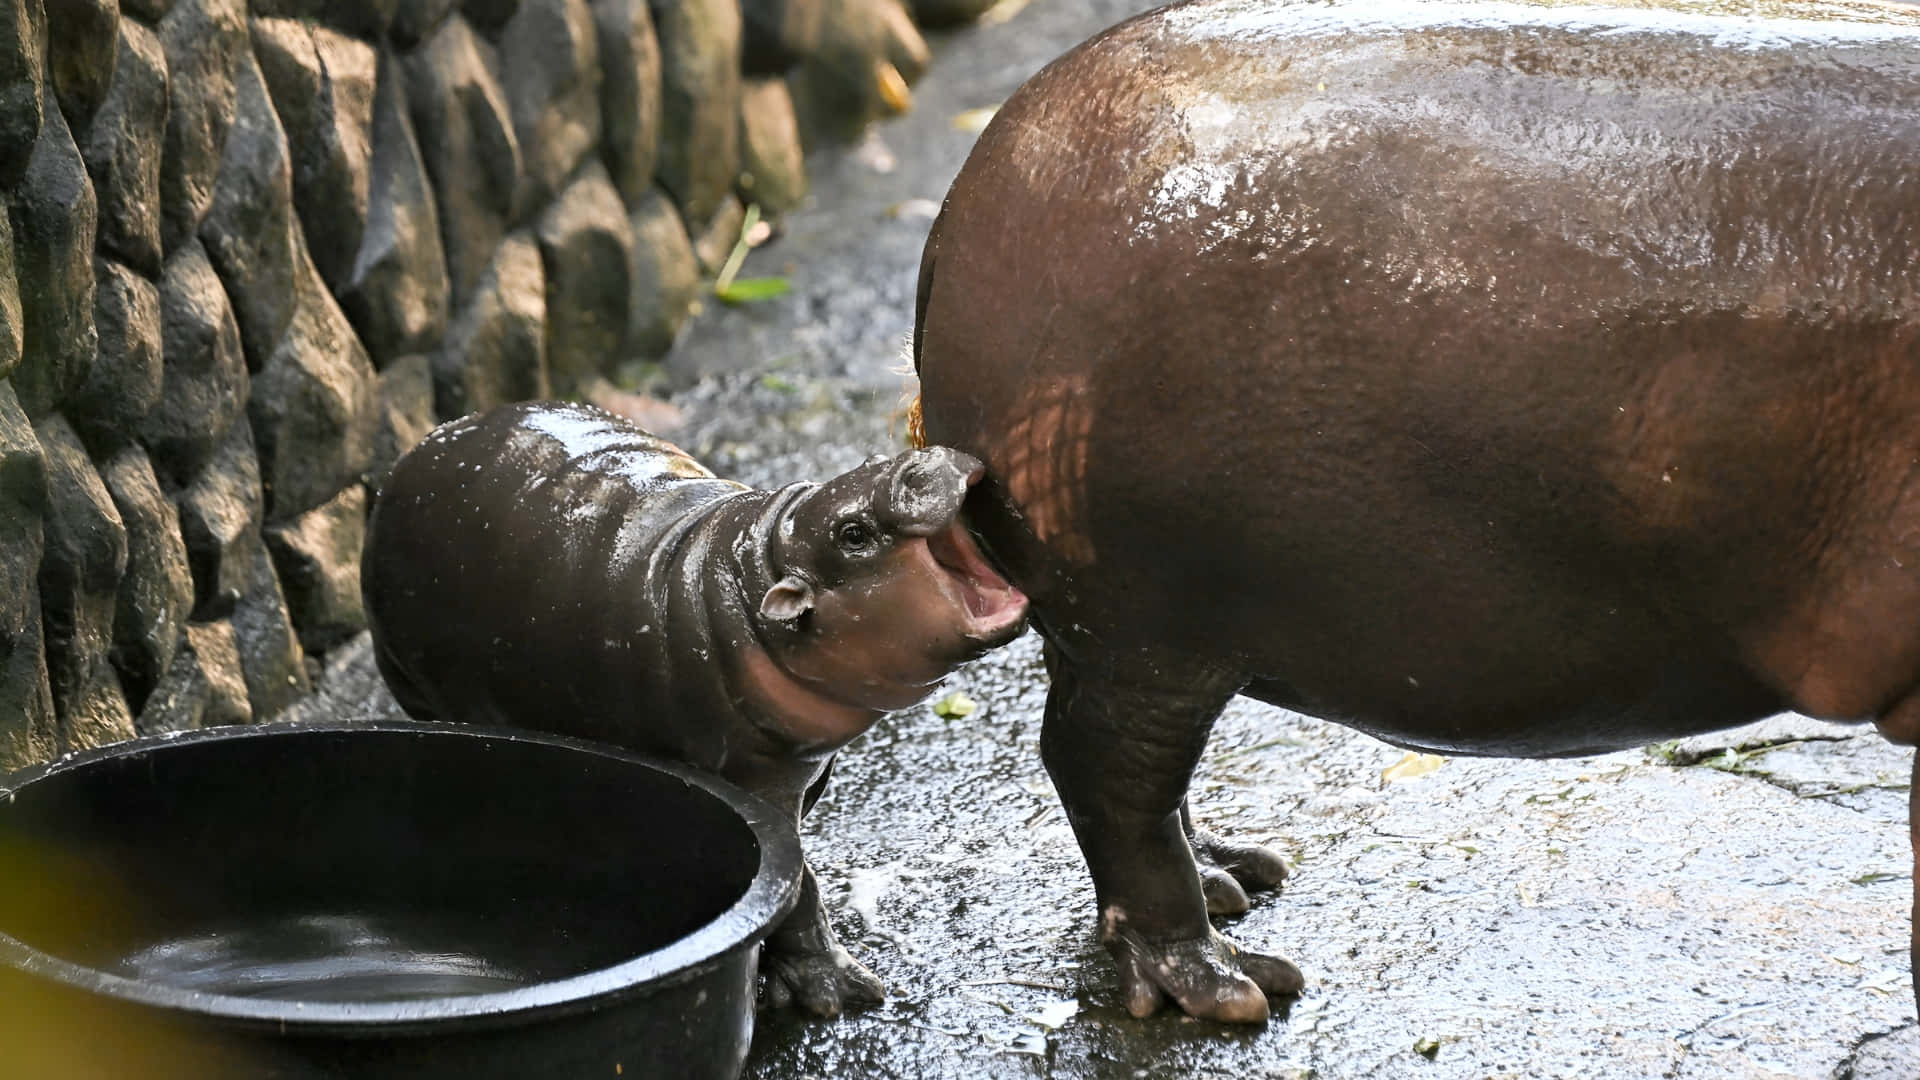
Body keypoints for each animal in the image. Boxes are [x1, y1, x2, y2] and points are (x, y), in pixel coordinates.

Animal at [362, 401, 1029, 1015]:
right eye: (853, 533)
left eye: (869, 460)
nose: (924, 459)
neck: (759, 563)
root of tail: (407, 461)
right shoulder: (751, 781)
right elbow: (796, 883)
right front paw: (838, 993)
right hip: (423, 692)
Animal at [910, 0, 1920, 1023]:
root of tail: (970, 187)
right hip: (1144, 621)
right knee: (1104, 769)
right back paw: (1225, 983)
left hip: (1124, 623)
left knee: (1128, 769)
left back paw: (1238, 877)